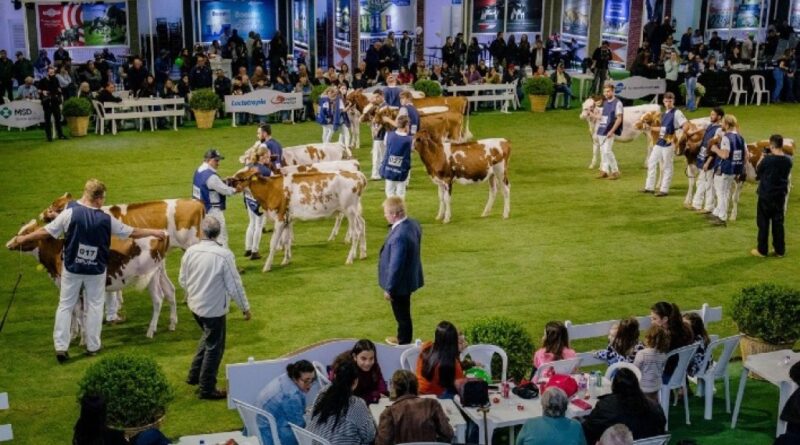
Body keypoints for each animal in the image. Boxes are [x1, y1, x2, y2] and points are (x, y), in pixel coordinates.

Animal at [226, 169, 368, 272]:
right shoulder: (288, 220)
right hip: (355, 211)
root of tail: (357, 175)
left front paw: (267, 267)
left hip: (349, 210)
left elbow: (273, 243)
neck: (269, 190)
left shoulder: (280, 219)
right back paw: (362, 254)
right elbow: (287, 240)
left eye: (239, 176)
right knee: (362, 226)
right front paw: (286, 260)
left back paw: (350, 259)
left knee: (356, 232)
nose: (226, 180)